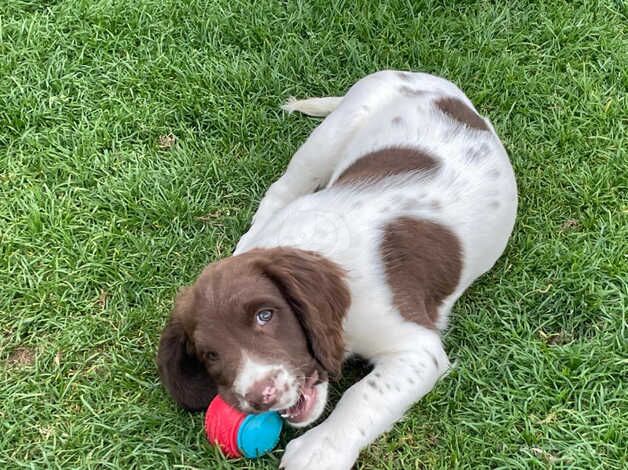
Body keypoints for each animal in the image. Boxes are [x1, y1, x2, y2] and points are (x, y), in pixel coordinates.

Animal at [157, 70, 516, 470]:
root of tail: (420, 76)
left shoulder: (416, 350)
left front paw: (320, 450)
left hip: (335, 129)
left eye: (266, 315)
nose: (262, 396)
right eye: (210, 355)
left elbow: (363, 393)